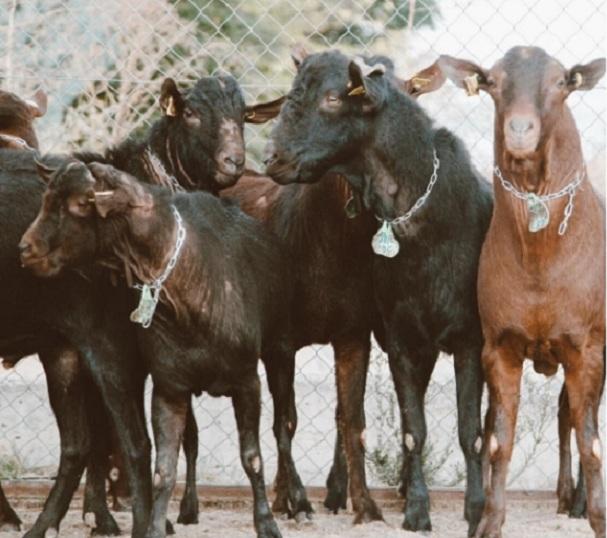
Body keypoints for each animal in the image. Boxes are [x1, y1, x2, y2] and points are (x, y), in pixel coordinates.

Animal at [436, 47, 607, 536]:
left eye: (562, 82)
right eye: (492, 82)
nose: (520, 130)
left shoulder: (586, 348)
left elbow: (592, 444)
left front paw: (599, 517)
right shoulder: (498, 347)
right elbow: (498, 440)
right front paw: (489, 522)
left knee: (574, 418)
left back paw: (576, 499)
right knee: (560, 415)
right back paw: (565, 495)